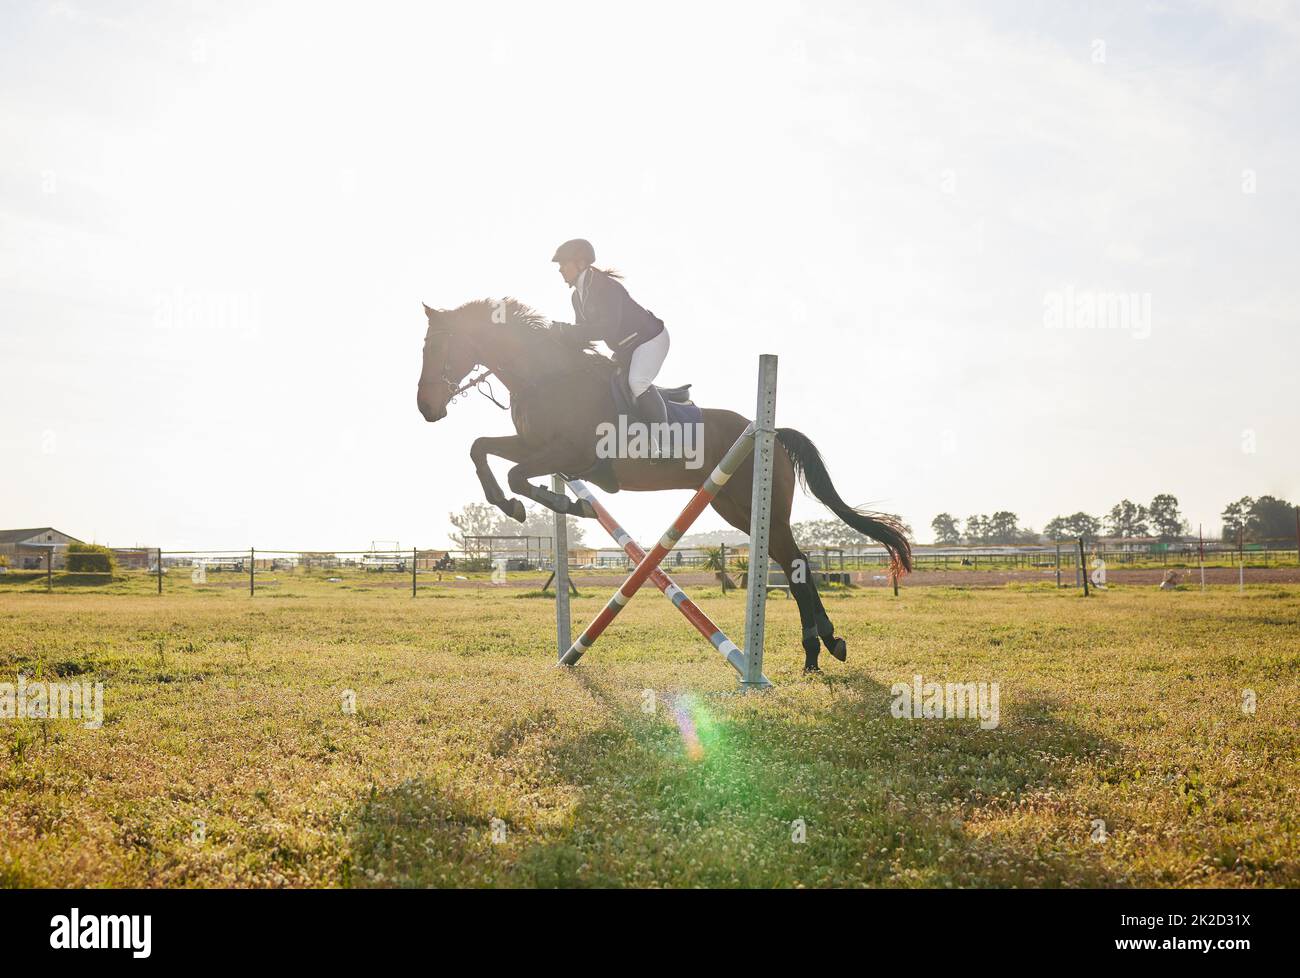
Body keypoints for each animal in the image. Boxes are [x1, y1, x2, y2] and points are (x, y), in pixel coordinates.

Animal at [410, 297, 909, 671]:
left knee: (798, 561)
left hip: (757, 505)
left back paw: (821, 647)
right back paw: (819, 650)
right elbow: (480, 449)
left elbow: (515, 473)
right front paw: (514, 504)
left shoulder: (572, 455)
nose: (427, 408)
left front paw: (560, 506)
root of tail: (769, 430)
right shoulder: (532, 445)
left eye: (439, 347)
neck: (546, 378)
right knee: (791, 563)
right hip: (734, 508)